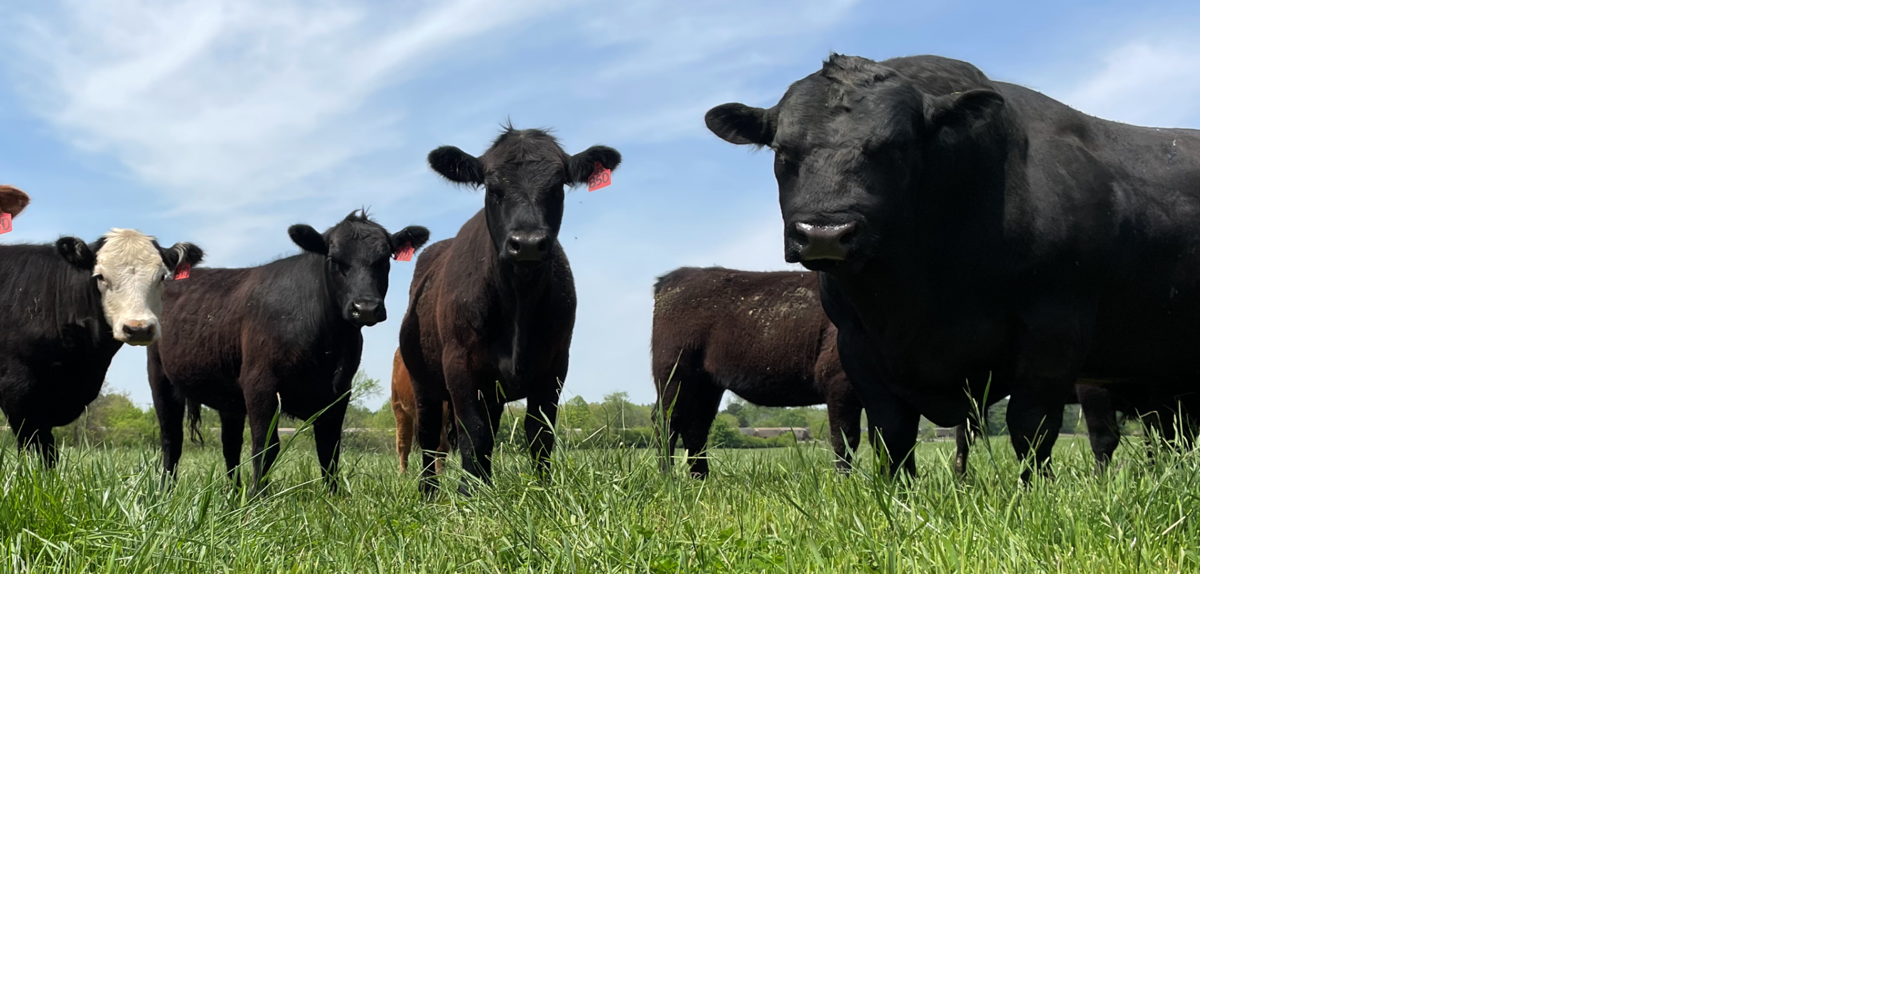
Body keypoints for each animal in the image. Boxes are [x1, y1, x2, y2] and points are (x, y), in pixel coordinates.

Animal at [147, 211, 427, 490]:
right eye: (334, 259)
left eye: (384, 259)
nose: (365, 307)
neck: (327, 348)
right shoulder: (260, 385)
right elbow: (265, 447)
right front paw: (257, 497)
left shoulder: (339, 392)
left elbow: (329, 449)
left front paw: (333, 494)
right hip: (160, 379)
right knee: (171, 440)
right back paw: (165, 491)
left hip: (228, 397)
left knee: (230, 445)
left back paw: (233, 492)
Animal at [400, 125, 620, 496]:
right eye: (493, 187)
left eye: (557, 186)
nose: (528, 243)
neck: (519, 298)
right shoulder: (459, 365)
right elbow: (473, 432)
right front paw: (469, 495)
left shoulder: (555, 364)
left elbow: (540, 433)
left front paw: (542, 490)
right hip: (423, 381)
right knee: (430, 437)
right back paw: (429, 492)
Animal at [650, 266, 862, 478]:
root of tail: (678, 276)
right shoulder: (838, 382)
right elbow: (844, 438)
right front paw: (844, 480)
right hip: (675, 375)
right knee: (667, 420)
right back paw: (668, 476)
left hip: (706, 385)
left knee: (696, 427)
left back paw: (701, 478)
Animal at [706, 54, 1200, 482]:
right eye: (782, 150)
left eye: (896, 146)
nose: (825, 232)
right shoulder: (858, 344)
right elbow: (891, 431)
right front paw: (898, 498)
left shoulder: (1055, 330)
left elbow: (1032, 427)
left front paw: (1036, 493)